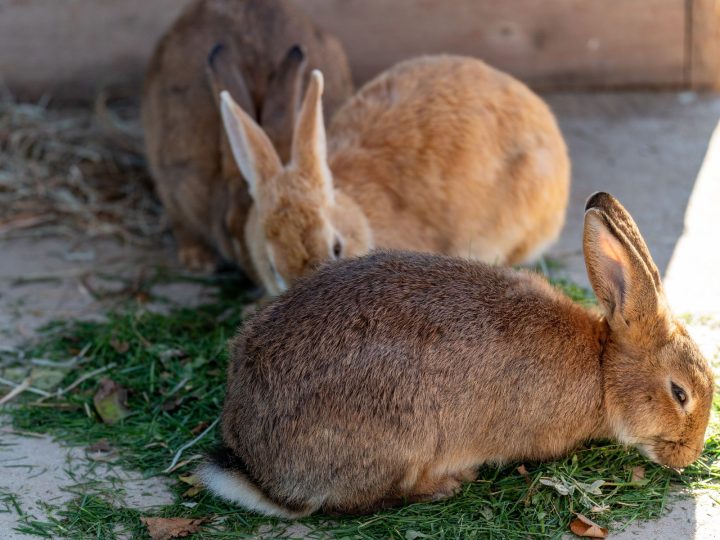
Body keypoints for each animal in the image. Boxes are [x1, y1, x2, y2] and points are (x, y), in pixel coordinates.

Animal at [198, 192, 714, 517]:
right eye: (679, 393)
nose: (687, 457)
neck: (603, 369)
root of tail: (260, 470)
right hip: (401, 437)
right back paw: (446, 483)